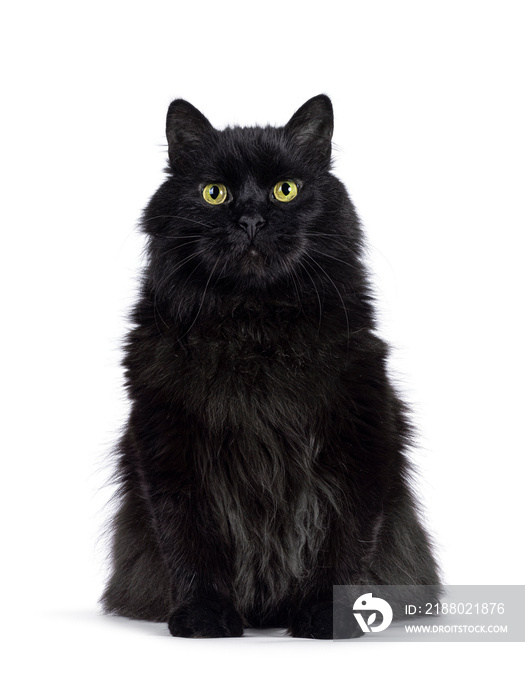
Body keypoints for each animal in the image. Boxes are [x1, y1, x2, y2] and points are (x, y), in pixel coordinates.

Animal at [101, 95, 438, 636]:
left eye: (286, 189)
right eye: (214, 193)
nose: (252, 220)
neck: (254, 327)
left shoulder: (361, 434)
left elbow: (345, 539)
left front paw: (330, 617)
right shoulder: (169, 447)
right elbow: (188, 542)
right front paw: (203, 617)